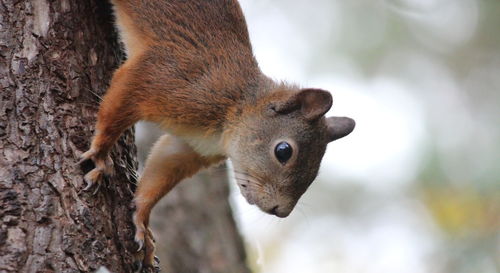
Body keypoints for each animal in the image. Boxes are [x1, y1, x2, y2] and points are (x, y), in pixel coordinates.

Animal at [79, 0, 356, 266]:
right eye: (283, 151)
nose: (281, 211)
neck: (235, 106)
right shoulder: (164, 78)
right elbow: (119, 106)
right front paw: (101, 155)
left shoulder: (191, 147)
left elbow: (162, 169)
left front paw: (142, 221)